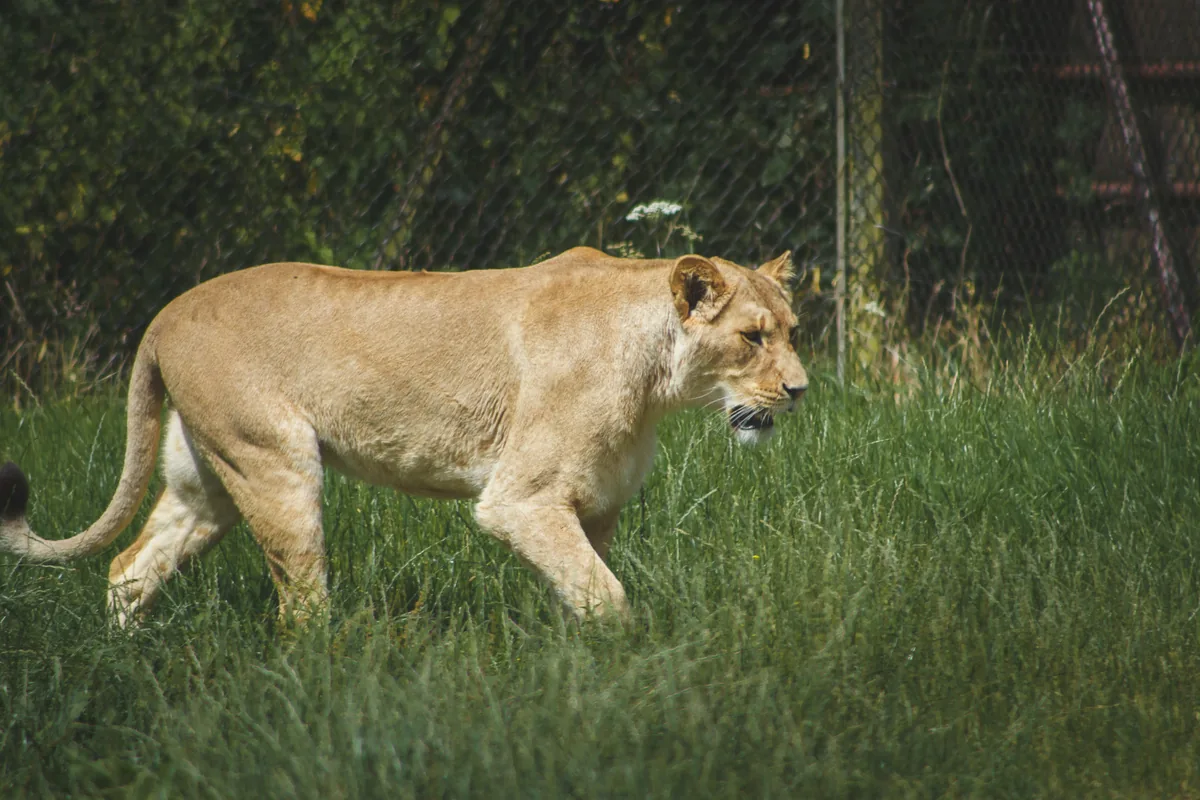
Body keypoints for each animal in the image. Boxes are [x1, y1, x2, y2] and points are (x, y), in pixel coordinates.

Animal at [0, 247, 807, 625]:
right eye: (752, 337)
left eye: (793, 330)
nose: (800, 391)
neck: (658, 382)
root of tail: (164, 314)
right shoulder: (524, 498)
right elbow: (606, 595)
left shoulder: (593, 504)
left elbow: (581, 587)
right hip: (275, 462)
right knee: (300, 604)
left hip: (210, 476)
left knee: (129, 566)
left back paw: (124, 661)